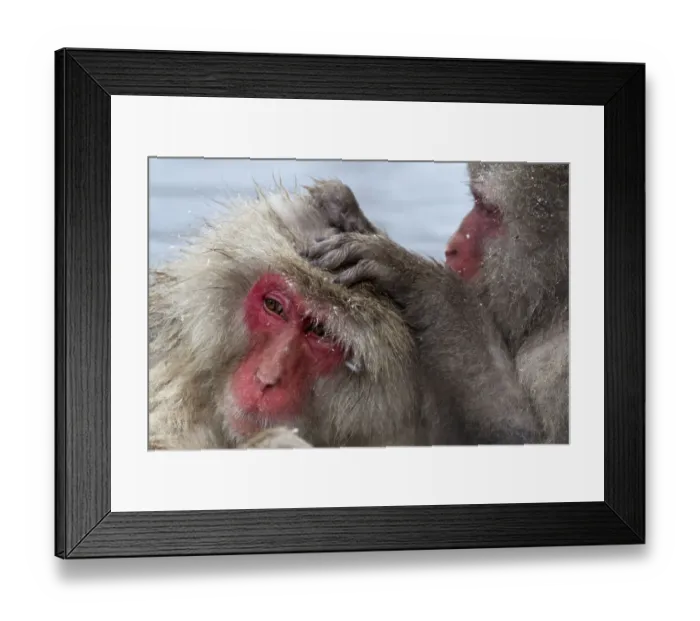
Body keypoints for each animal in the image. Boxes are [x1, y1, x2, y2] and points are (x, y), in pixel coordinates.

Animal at [305, 166, 569, 444]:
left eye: (486, 207)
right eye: (477, 201)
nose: (452, 246)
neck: (552, 305)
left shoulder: (561, 362)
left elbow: (522, 435)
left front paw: (417, 277)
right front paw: (349, 214)